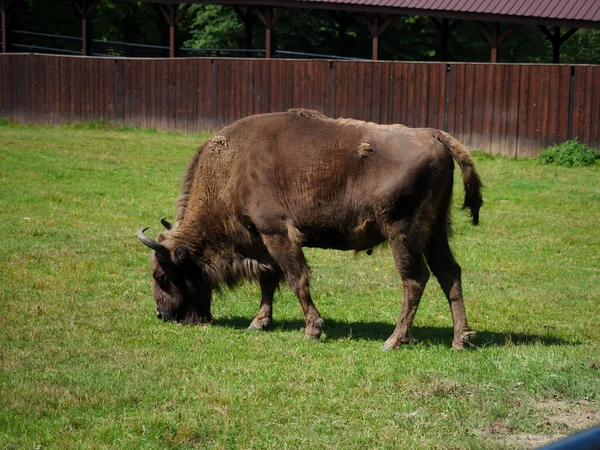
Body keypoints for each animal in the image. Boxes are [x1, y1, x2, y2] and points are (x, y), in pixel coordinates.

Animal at [137, 108, 482, 348]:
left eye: (162, 276)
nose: (161, 315)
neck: (232, 167)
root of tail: (435, 135)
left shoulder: (277, 233)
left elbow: (296, 279)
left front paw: (313, 329)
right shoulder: (262, 241)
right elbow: (268, 280)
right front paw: (259, 322)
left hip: (402, 234)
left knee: (414, 279)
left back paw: (393, 341)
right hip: (435, 233)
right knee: (449, 273)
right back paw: (460, 339)